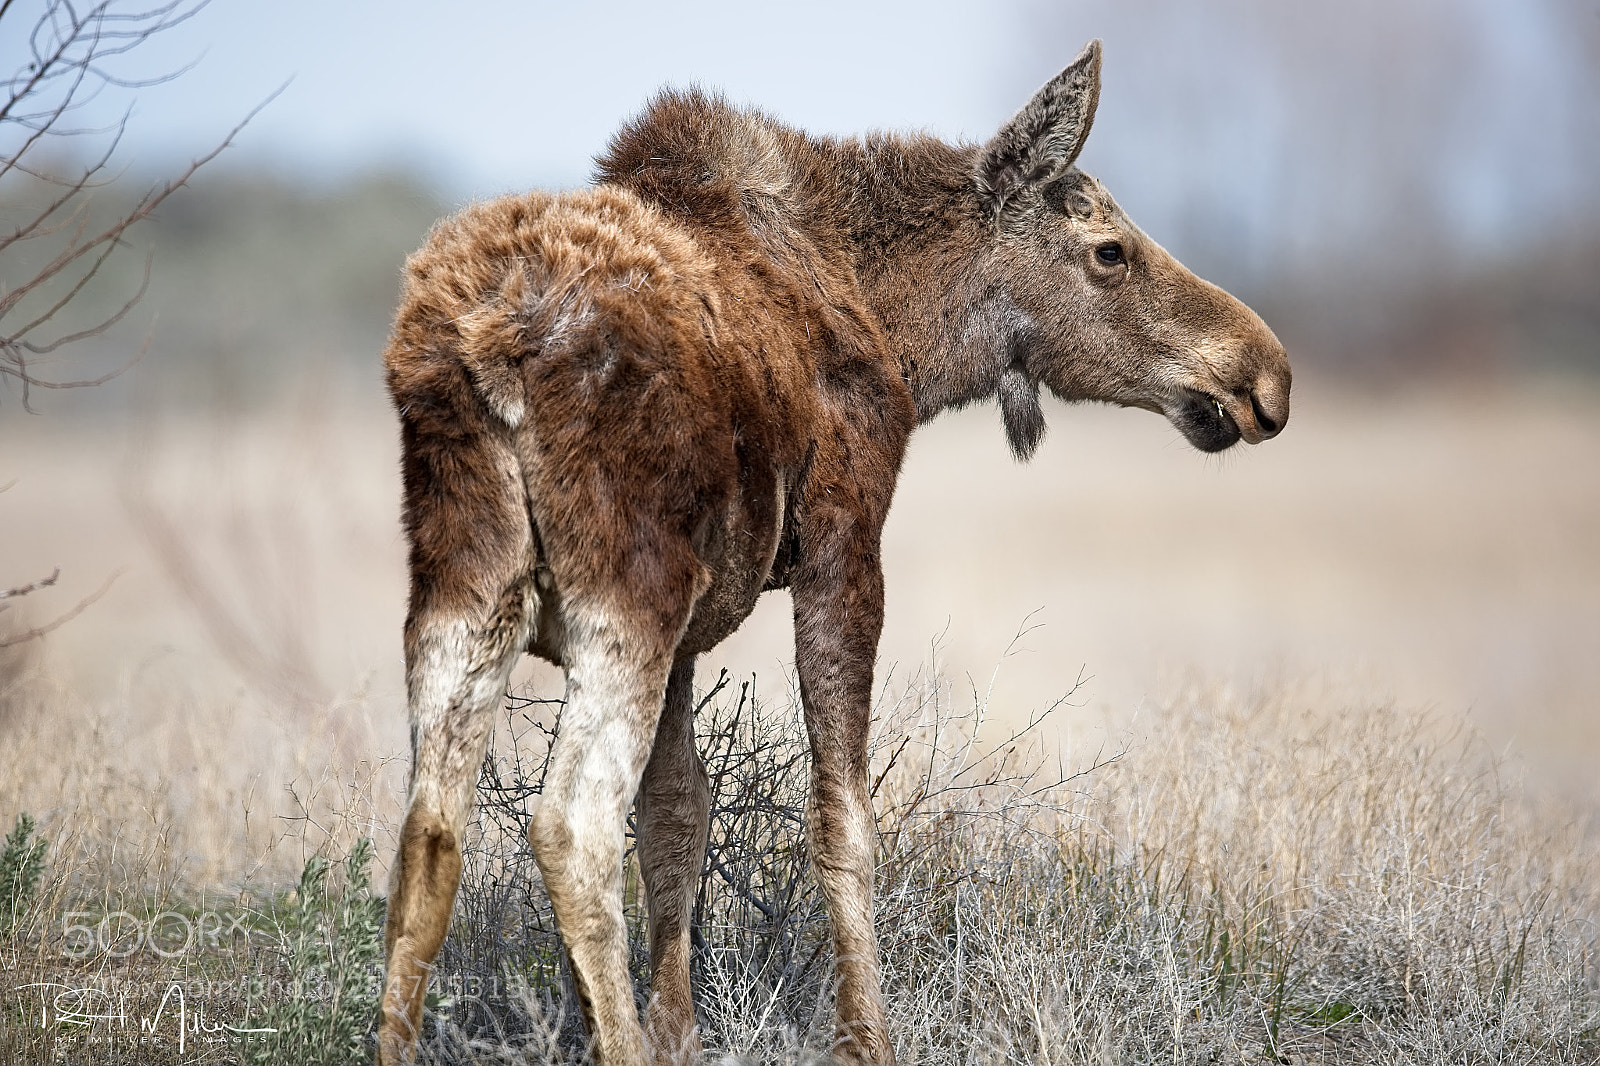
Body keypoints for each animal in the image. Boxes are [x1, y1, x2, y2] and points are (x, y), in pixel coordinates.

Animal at [376, 39, 1290, 1066]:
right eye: (1109, 251)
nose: (1265, 374)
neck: (909, 334)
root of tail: (481, 346)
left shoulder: (694, 623)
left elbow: (676, 816)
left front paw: (682, 1032)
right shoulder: (843, 546)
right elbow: (841, 821)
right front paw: (865, 1037)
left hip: (462, 585)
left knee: (428, 833)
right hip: (625, 588)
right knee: (569, 824)